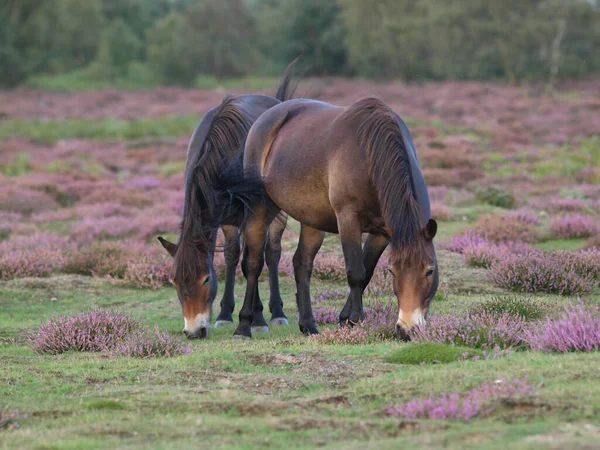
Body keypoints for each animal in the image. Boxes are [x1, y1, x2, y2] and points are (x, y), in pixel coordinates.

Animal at [156, 68, 294, 340]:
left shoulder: (254, 214)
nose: (194, 331)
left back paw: (277, 313)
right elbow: (233, 256)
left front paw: (255, 320)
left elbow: (253, 263)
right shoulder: (225, 217)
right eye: (173, 281)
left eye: (206, 279)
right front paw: (225, 315)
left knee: (271, 252)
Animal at [237, 96, 438, 340]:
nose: (408, 328)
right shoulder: (348, 220)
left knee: (302, 263)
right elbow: (357, 272)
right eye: (392, 271)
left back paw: (308, 325)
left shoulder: (382, 232)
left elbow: (367, 270)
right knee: (253, 263)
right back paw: (246, 325)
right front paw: (356, 319)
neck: (370, 155)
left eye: (430, 270)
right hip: (260, 208)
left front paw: (345, 319)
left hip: (311, 219)